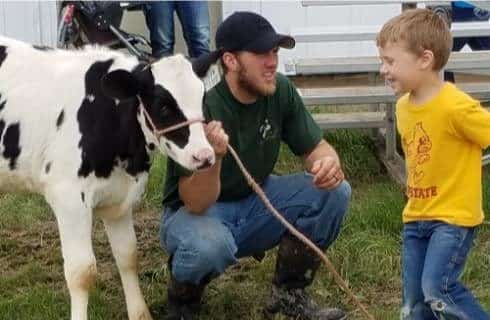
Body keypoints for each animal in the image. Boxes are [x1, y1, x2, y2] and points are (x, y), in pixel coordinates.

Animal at [0, 36, 216, 318]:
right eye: (163, 106)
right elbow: (81, 272)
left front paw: (140, 314)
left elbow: (128, 256)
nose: (204, 156)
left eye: (203, 98)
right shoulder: (68, 197)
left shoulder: (118, 196)